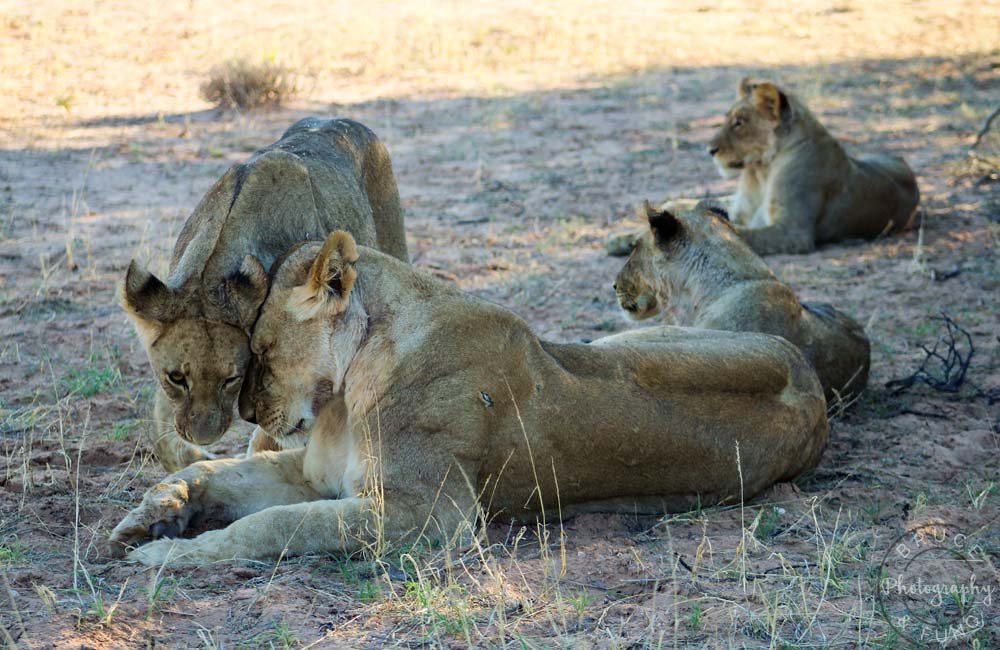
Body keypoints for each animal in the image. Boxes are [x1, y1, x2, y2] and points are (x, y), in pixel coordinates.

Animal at [122, 117, 410, 470]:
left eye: (231, 379)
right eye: (176, 377)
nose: (204, 438)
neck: (208, 276)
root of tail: (345, 121)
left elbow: (271, 433)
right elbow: (160, 424)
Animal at [708, 77, 916, 254]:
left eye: (739, 122)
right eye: (727, 119)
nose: (710, 150)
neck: (762, 170)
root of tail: (901, 159)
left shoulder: (794, 232)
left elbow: (740, 234)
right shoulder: (741, 213)